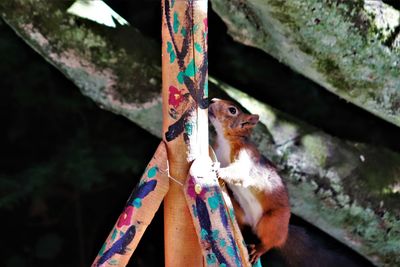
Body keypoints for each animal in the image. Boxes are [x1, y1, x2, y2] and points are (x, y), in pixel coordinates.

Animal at [208, 98, 290, 264]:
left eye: (233, 110)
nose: (212, 100)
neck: (225, 140)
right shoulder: (217, 149)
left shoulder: (246, 156)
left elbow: (239, 171)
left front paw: (220, 171)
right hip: (240, 212)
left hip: (272, 222)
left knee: (271, 242)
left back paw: (259, 249)